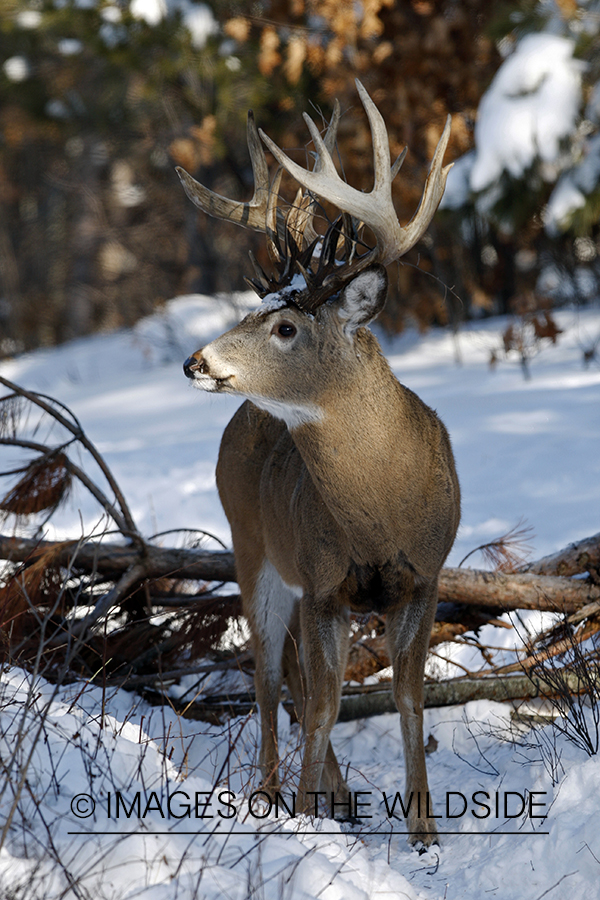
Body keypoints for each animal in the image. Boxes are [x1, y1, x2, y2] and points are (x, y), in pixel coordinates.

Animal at [178, 81, 460, 848]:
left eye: (285, 325)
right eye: (254, 309)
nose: (196, 361)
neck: (382, 513)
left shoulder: (425, 575)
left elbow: (408, 697)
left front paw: (424, 833)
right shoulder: (322, 580)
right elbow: (326, 704)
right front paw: (306, 820)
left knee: (293, 683)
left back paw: (341, 796)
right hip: (254, 549)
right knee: (273, 681)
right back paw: (278, 792)